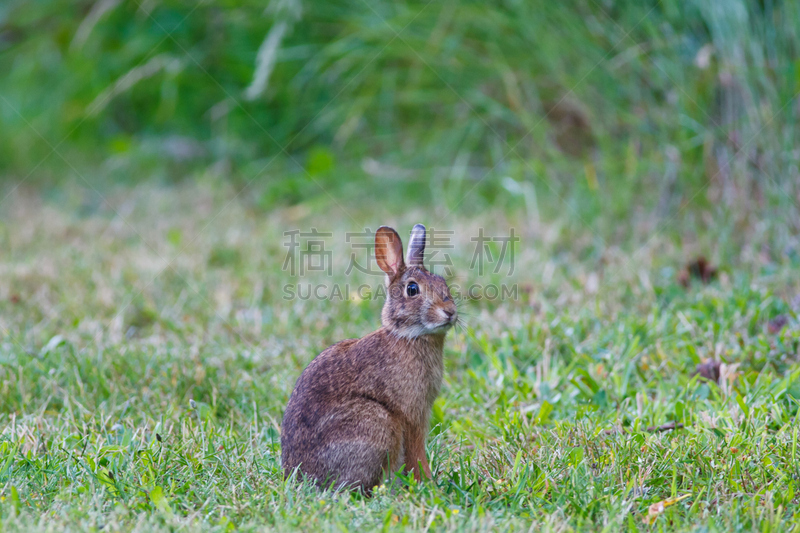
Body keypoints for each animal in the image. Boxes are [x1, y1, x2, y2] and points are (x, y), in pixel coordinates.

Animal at [280, 223, 456, 490]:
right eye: (412, 289)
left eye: (442, 282)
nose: (450, 312)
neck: (407, 336)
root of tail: (299, 477)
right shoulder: (412, 413)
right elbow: (416, 451)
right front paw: (426, 483)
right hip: (375, 422)